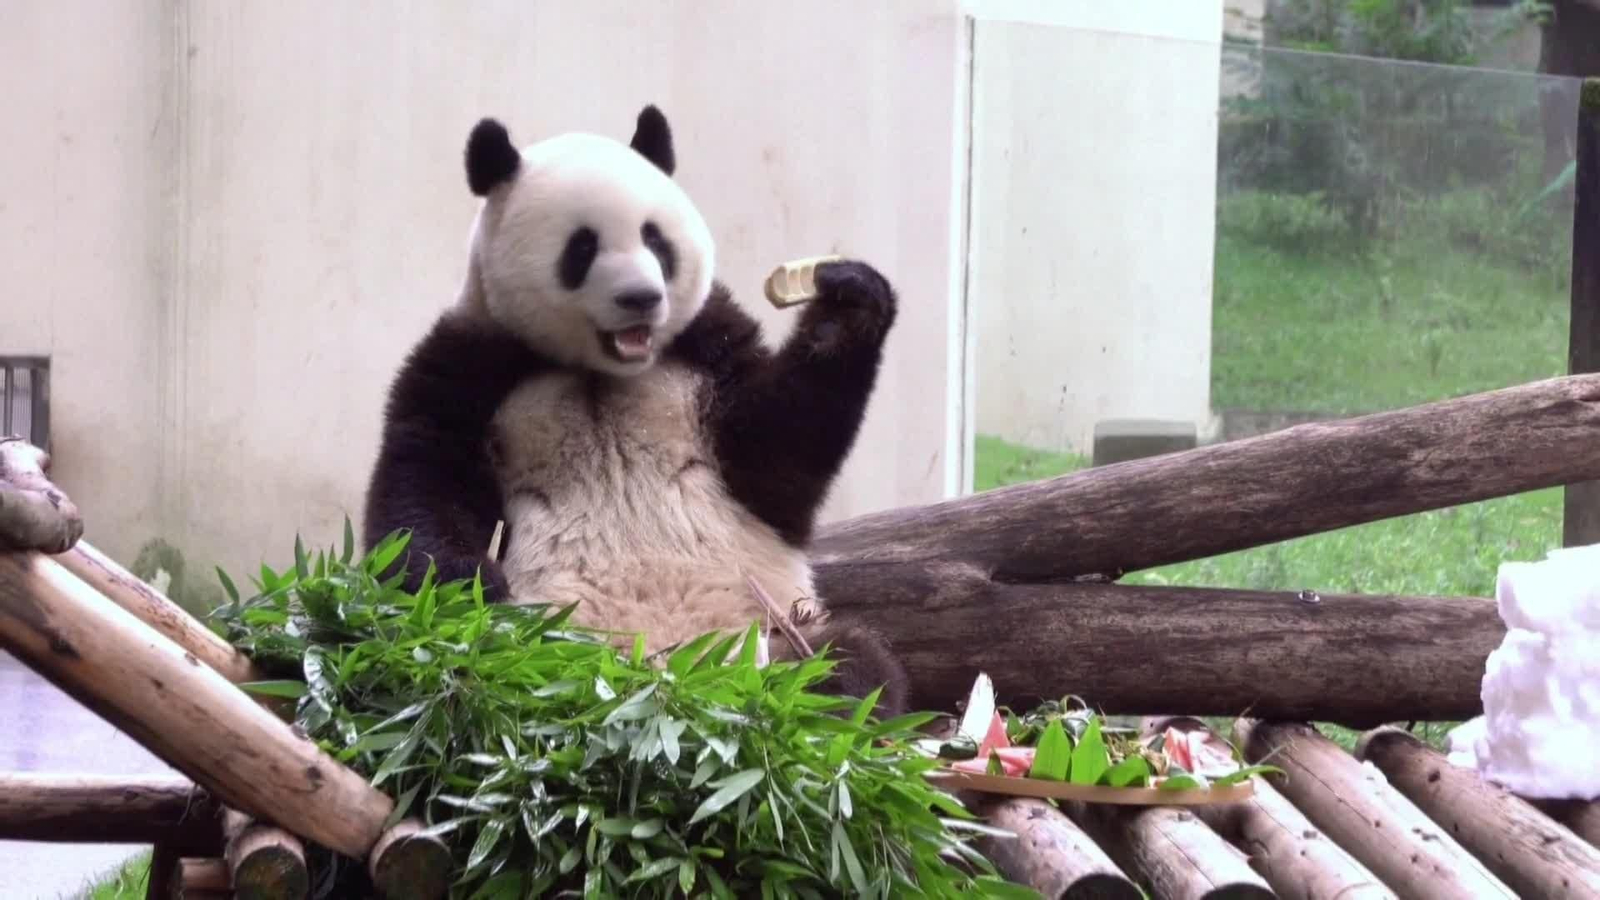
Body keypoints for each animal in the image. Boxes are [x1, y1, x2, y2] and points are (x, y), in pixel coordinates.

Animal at [361, 105, 908, 717]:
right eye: (582, 247)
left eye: (655, 239)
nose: (641, 298)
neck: (606, 368)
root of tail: (663, 683)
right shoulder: (471, 361)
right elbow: (422, 489)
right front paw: (472, 587)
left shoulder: (707, 350)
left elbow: (779, 452)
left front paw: (846, 303)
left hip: (775, 634)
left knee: (853, 664)